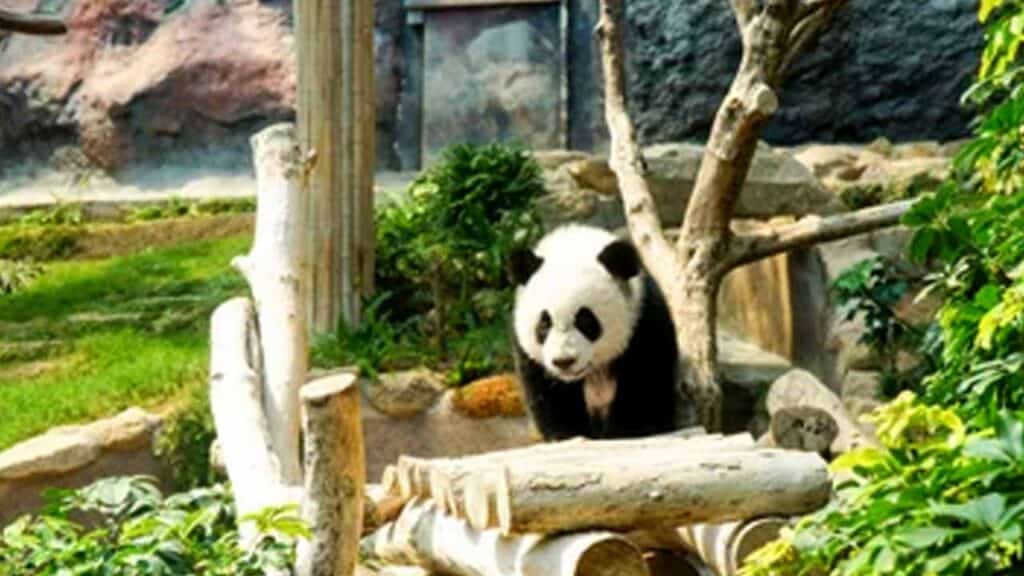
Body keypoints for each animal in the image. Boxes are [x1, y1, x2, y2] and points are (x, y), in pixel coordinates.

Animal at [508, 224, 680, 441]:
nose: (564, 362)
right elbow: (551, 398)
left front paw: (625, 431)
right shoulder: (532, 359)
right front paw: (567, 435)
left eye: (586, 321)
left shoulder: (645, 325)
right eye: (544, 323)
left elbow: (644, 390)